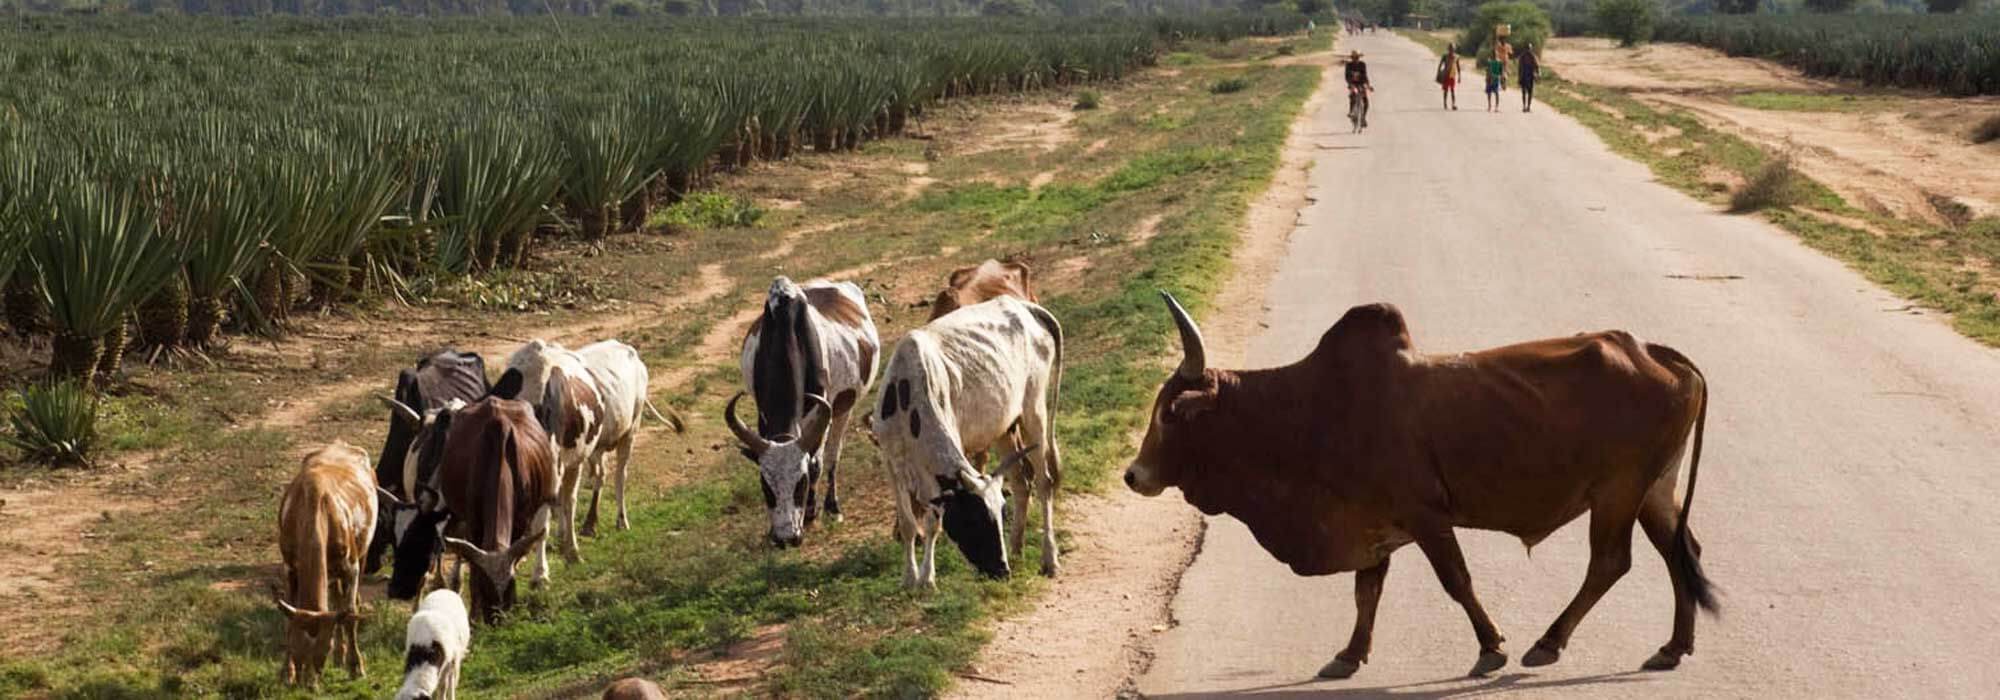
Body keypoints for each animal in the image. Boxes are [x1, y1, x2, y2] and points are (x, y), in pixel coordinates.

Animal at [274, 442, 378, 684]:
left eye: (324, 649)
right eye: (297, 648)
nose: (308, 685)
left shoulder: (351, 567)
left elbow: (349, 614)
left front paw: (355, 666)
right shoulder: (289, 568)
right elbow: (288, 619)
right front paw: (287, 672)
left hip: (363, 553)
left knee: (348, 604)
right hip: (331, 572)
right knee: (336, 597)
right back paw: (340, 656)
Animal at [724, 278, 872, 548]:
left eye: (801, 484)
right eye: (765, 486)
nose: (786, 537)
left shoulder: (820, 417)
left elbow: (816, 464)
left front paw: (811, 514)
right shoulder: (763, 418)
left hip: (844, 408)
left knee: (833, 454)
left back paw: (832, 506)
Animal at [1128, 294, 1720, 680]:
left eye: (1170, 415)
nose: (1134, 475)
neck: (1308, 413)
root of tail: (1656, 351)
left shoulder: (1426, 516)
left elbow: (1456, 581)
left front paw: (1491, 648)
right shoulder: (1371, 522)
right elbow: (1366, 592)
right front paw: (1349, 655)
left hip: (1619, 491)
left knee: (1611, 563)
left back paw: (1548, 643)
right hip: (1653, 490)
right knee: (1679, 551)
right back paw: (1674, 647)